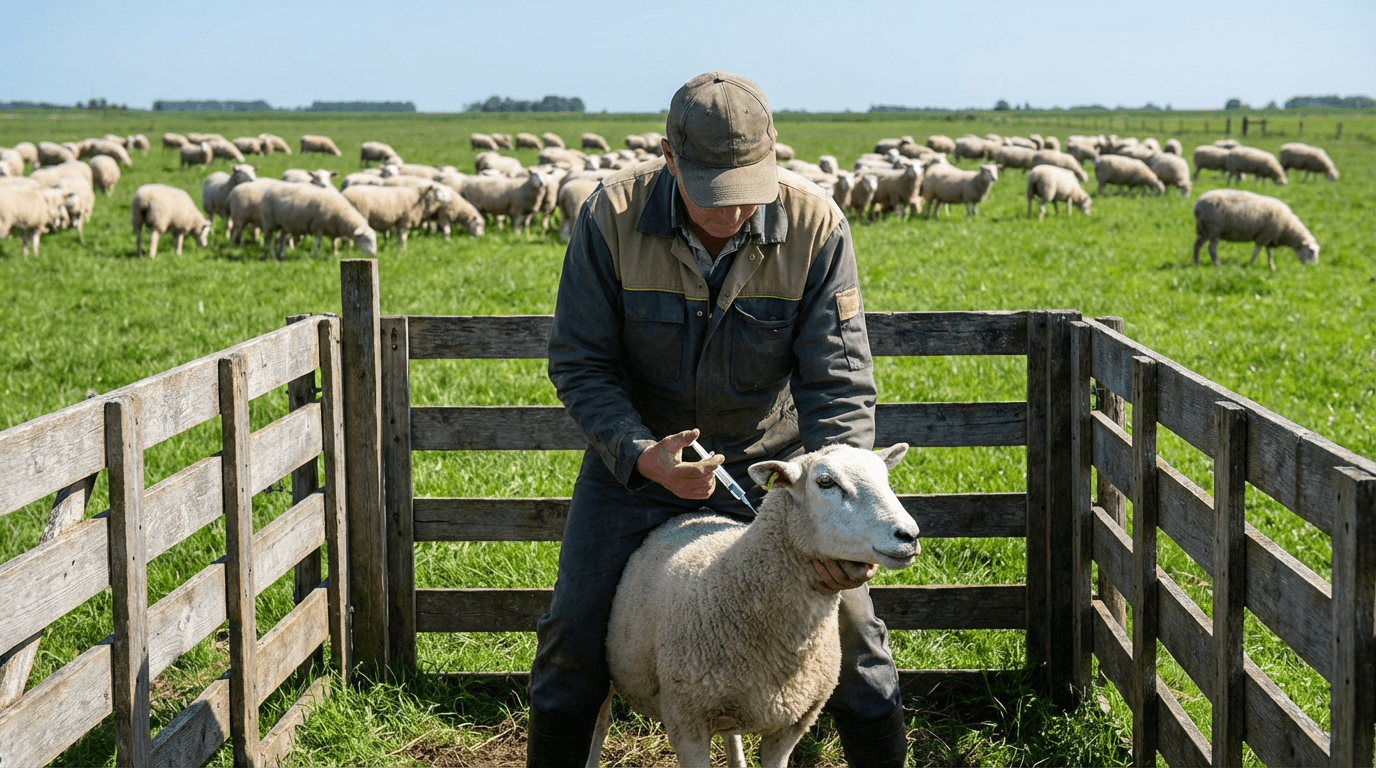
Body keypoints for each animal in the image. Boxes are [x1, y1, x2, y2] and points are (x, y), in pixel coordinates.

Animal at [592, 443, 918, 768]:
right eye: (826, 482)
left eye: (886, 478)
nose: (910, 536)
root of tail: (687, 515)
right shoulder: (687, 724)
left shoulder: (794, 724)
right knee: (600, 722)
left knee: (730, 733)